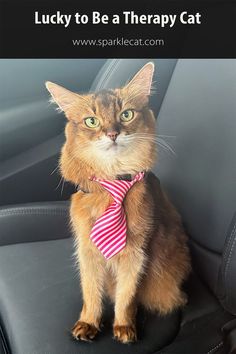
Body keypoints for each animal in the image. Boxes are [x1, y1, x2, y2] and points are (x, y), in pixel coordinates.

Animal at [46, 62, 192, 344]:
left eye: (126, 115)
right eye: (91, 121)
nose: (113, 134)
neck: (113, 184)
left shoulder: (136, 253)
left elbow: (127, 295)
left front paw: (124, 326)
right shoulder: (87, 250)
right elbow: (91, 291)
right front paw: (88, 322)